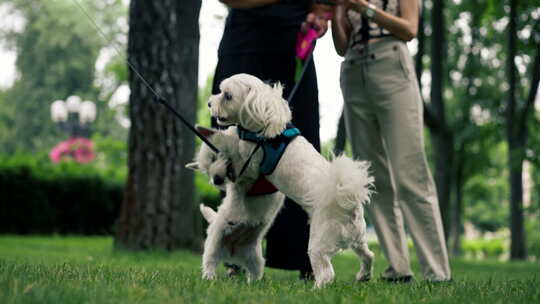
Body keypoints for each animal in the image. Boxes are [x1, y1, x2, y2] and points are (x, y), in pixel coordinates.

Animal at [186, 126, 284, 282]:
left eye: (214, 157)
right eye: (206, 171)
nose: (216, 180)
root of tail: (232, 254)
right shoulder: (238, 185)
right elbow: (237, 193)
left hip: (254, 257)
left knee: (255, 271)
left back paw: (253, 283)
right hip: (214, 245)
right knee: (210, 261)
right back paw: (209, 277)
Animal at [208, 73, 376, 288]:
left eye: (227, 96)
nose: (209, 103)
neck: (264, 124)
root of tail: (347, 200)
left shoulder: (250, 160)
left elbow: (237, 145)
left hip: (319, 242)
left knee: (326, 273)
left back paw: (316, 289)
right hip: (358, 237)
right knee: (368, 255)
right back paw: (363, 275)